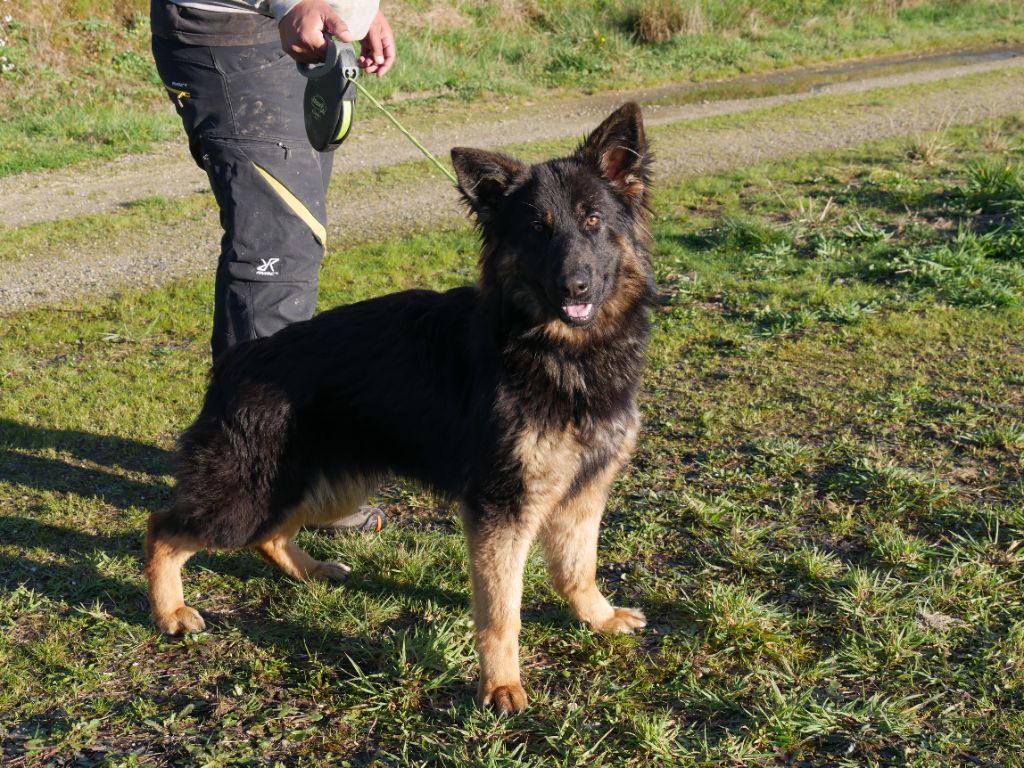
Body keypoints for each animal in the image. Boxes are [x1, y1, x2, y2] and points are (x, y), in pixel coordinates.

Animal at [144, 102, 655, 716]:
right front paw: (501, 684)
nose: (574, 285)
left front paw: (597, 619)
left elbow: (579, 569)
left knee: (268, 535)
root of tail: (237, 359)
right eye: (538, 231)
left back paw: (312, 571)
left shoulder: (583, 493)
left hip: (321, 486)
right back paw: (171, 612)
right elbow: (501, 612)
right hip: (249, 495)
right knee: (163, 529)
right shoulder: (501, 509)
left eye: (594, 221)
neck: (564, 353)